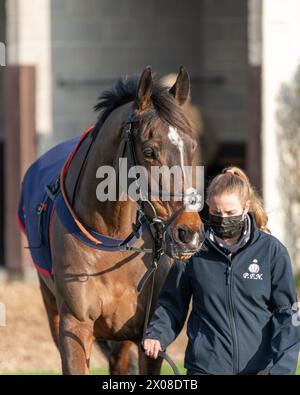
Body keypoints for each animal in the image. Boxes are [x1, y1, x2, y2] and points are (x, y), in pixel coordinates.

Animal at [21, 65, 205, 374]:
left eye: (191, 147)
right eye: (149, 151)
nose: (189, 233)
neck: (112, 239)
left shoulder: (148, 338)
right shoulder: (74, 328)